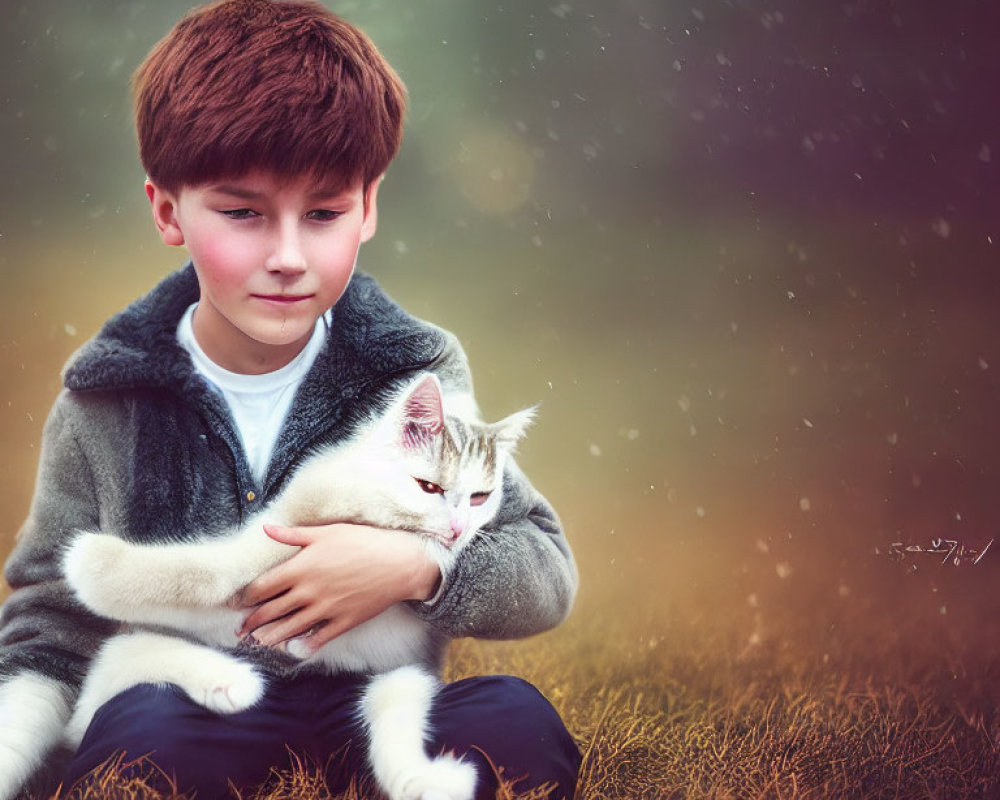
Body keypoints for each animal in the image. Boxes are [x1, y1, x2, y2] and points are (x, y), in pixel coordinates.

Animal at [58, 376, 536, 800]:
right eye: (429, 487)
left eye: (480, 497)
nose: (457, 529)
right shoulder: (279, 530)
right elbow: (211, 571)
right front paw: (90, 561)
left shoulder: (398, 656)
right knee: (115, 676)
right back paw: (228, 681)